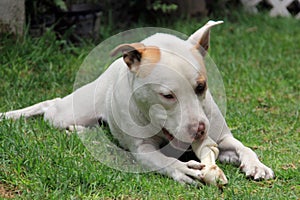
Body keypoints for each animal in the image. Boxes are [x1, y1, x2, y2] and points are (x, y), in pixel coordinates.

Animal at [0, 20, 274, 186]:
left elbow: (242, 147)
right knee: (52, 107)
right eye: (167, 96)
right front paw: (183, 169)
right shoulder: (142, 149)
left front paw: (256, 165)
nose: (199, 130)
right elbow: (163, 161)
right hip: (69, 111)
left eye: (201, 87)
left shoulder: (222, 137)